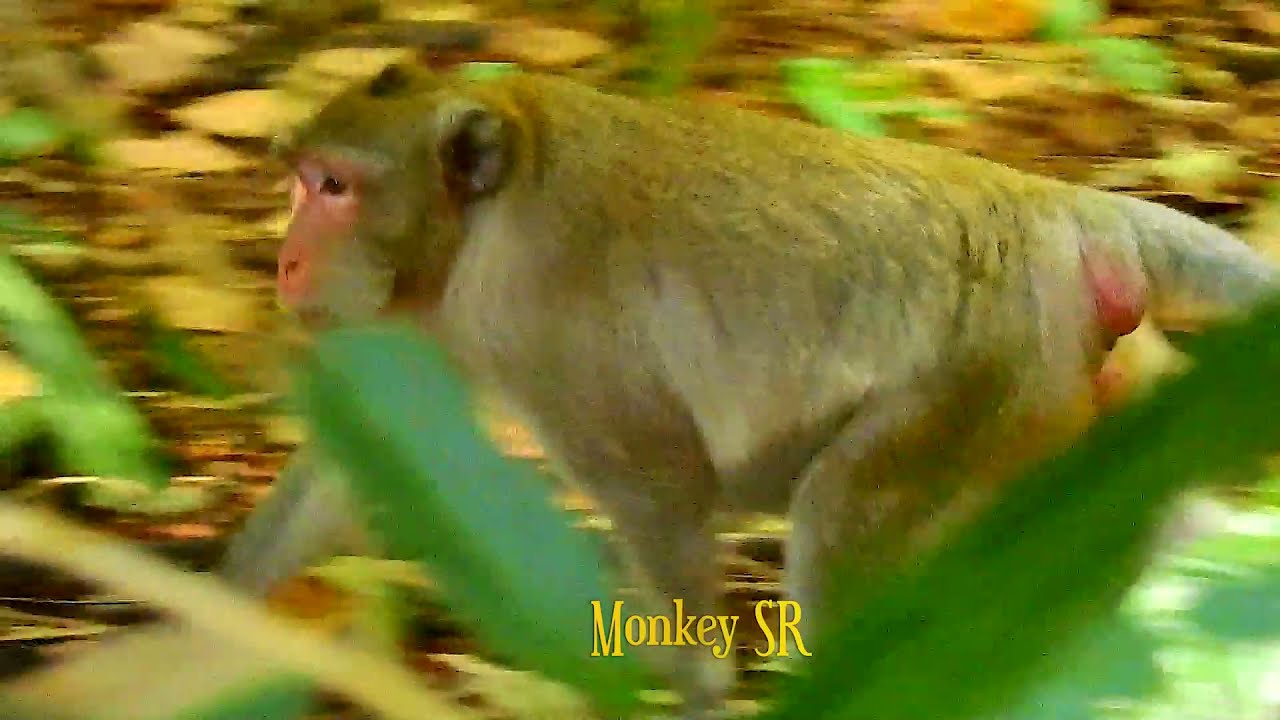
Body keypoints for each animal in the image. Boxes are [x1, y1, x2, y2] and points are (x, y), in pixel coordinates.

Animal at [217, 64, 1278, 717]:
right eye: (303, 181)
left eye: (336, 188)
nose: (287, 262)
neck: (486, 210)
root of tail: (1061, 210)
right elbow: (352, 462)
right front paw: (202, 624)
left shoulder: (545, 328)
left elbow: (661, 488)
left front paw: (691, 685)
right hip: (1085, 389)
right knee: (1166, 517)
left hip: (978, 381)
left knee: (841, 515)